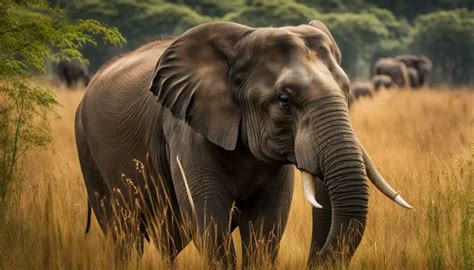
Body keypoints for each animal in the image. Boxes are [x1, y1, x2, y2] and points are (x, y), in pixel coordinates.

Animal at [75, 21, 412, 268]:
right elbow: (210, 222)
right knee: (123, 233)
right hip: (87, 149)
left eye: (346, 91)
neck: (241, 41)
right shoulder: (185, 129)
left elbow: (266, 227)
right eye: (284, 100)